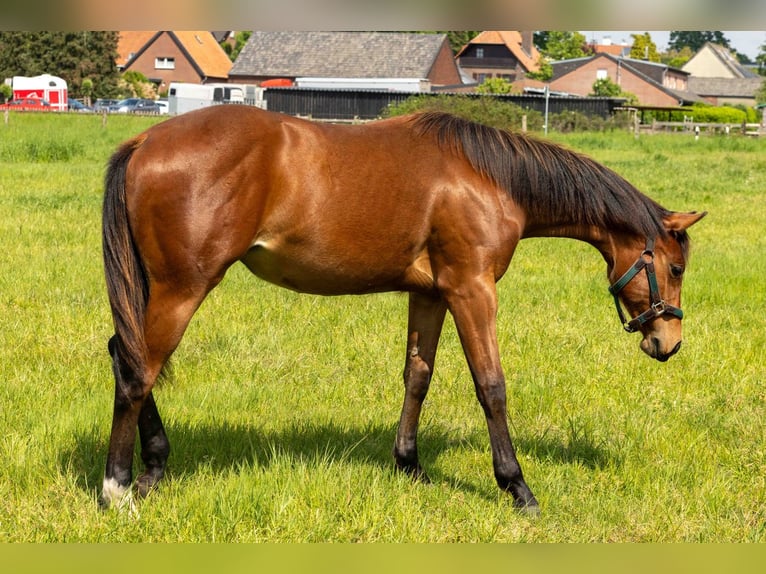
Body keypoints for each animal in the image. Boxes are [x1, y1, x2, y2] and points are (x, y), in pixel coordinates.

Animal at [100, 106, 705, 515]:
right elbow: (491, 385)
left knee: (125, 355)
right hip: (183, 288)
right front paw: (517, 486)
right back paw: (117, 487)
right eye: (676, 268)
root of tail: (146, 139)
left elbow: (418, 376)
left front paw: (409, 465)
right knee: (137, 371)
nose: (668, 343)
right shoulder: (471, 290)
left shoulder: (431, 294)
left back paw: (153, 468)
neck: (488, 177)